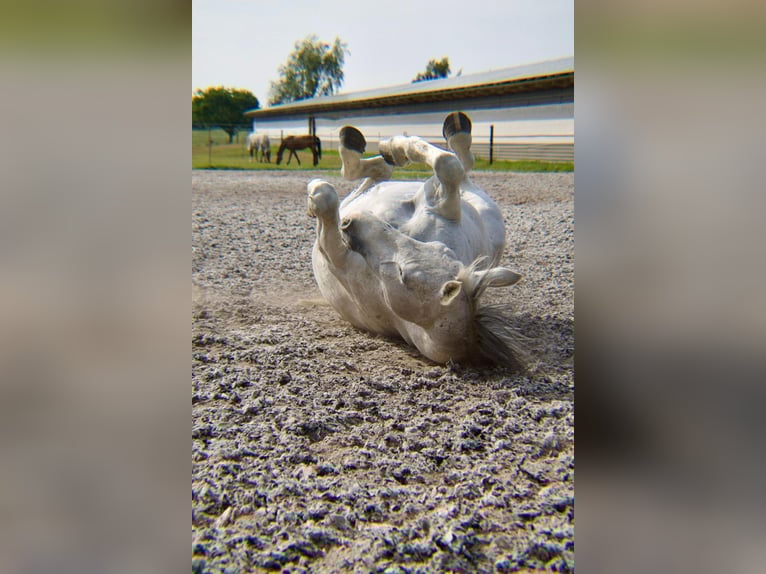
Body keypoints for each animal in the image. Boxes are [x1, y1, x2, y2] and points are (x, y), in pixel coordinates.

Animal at [307, 112, 528, 369]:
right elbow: (448, 165)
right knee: (449, 165)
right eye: (441, 249)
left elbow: (326, 200)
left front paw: (316, 194)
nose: (355, 221)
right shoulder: (438, 204)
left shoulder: (336, 255)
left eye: (403, 275)